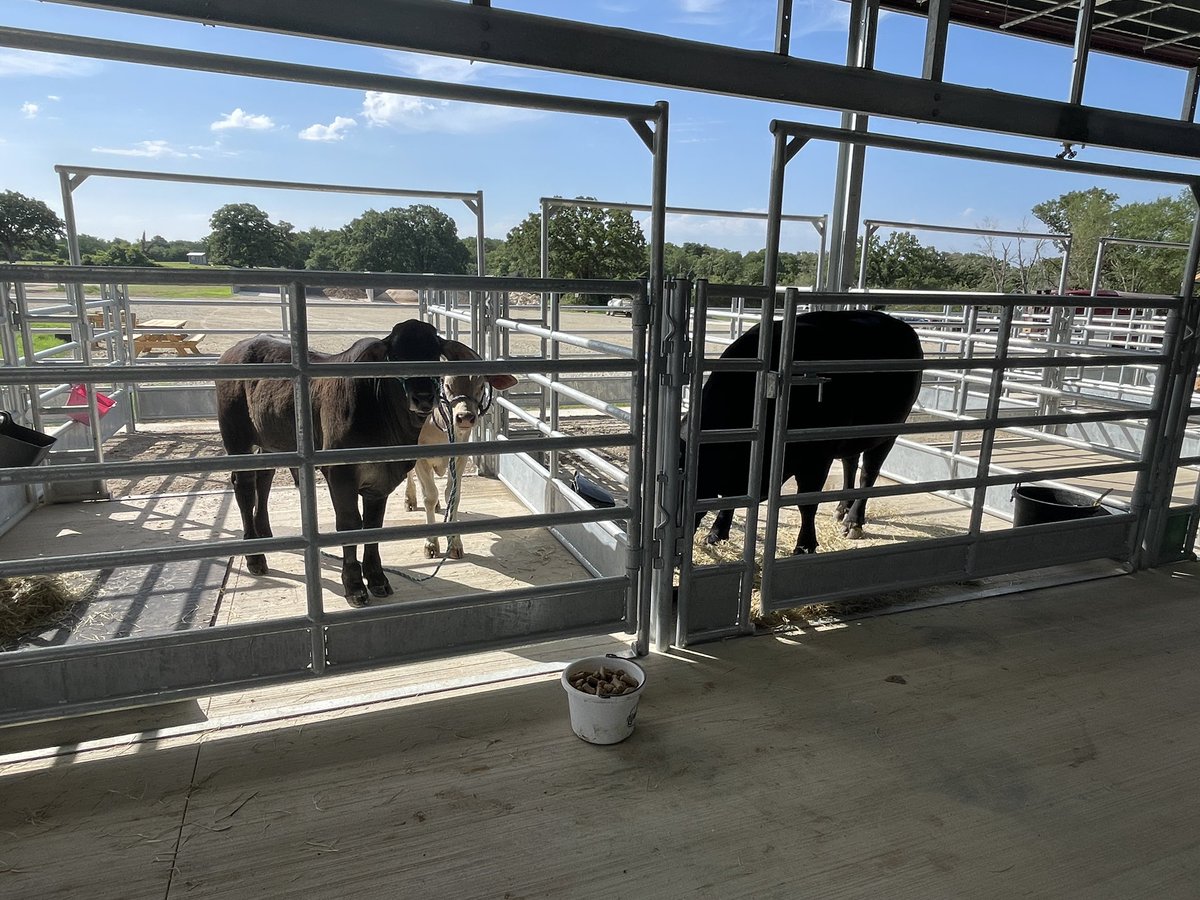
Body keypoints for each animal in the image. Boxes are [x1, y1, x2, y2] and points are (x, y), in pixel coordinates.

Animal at [218, 321, 480, 609]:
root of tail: (232, 351)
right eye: (395, 356)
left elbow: (373, 526)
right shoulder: (340, 476)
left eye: (434, 355)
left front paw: (377, 579)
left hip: (270, 443)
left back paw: (265, 533)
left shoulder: (380, 482)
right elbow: (350, 525)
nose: (423, 398)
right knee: (244, 487)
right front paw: (354, 585)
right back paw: (255, 556)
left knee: (264, 478)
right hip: (237, 439)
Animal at [686, 309, 916, 556]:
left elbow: (807, 504)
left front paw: (805, 546)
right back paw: (841, 508)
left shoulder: (817, 459)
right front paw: (716, 534)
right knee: (851, 463)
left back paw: (853, 521)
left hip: (887, 434)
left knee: (868, 474)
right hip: (851, 437)